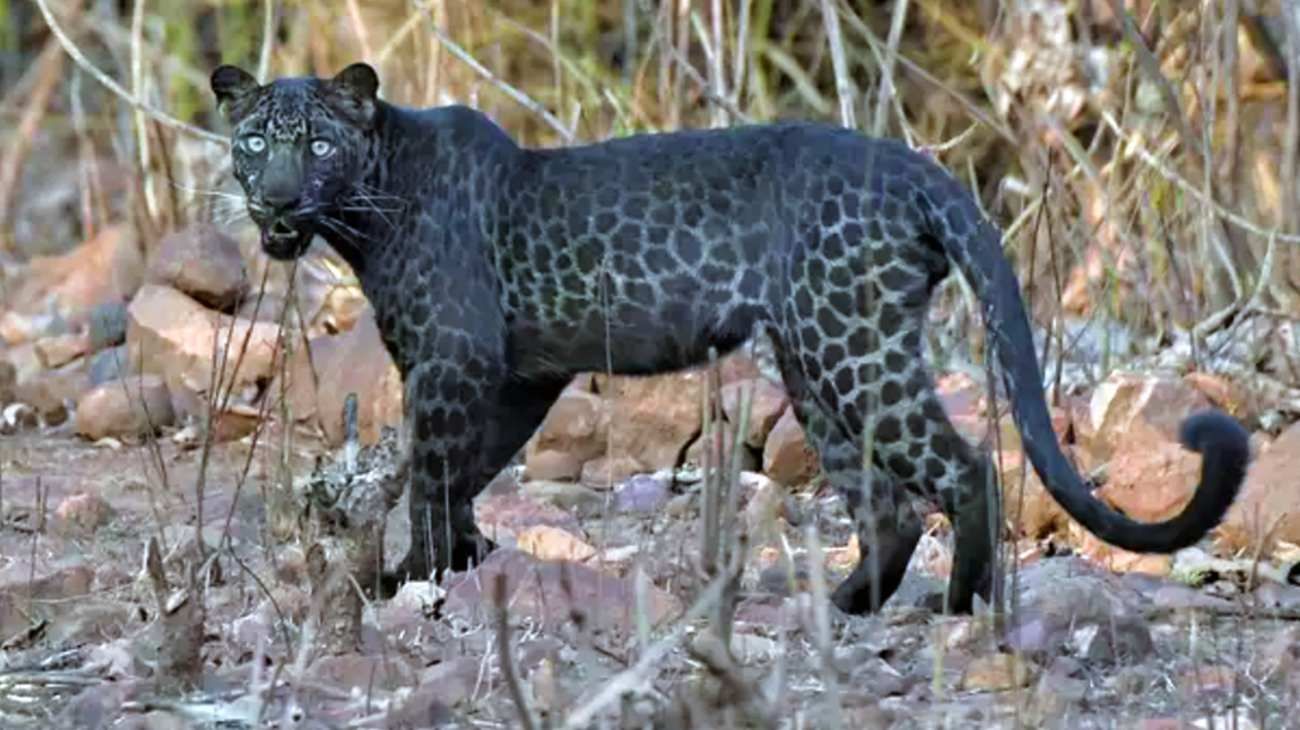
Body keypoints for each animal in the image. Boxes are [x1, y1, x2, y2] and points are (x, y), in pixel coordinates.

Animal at [208, 62, 1253, 610]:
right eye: (255, 141)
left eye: (319, 144)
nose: (277, 198)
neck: (368, 208)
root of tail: (915, 168)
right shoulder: (517, 373)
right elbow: (464, 470)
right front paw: (460, 562)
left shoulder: (455, 361)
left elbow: (430, 471)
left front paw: (413, 578)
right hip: (817, 362)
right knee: (887, 506)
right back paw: (838, 608)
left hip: (851, 348)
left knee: (963, 471)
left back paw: (960, 609)